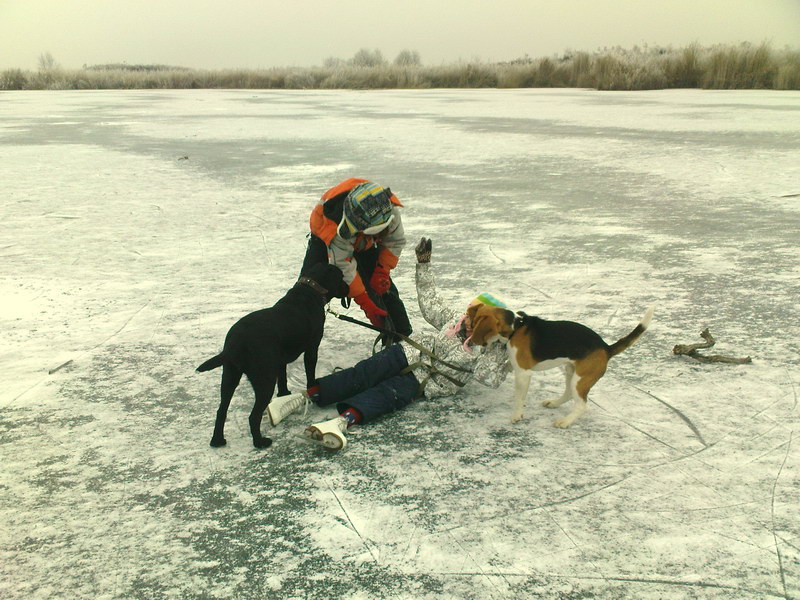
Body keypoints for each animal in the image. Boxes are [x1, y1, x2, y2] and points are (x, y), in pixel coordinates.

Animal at [196, 264, 346, 448]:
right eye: (341, 277)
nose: (348, 288)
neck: (310, 289)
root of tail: (236, 342)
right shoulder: (311, 348)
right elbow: (310, 374)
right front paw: (312, 388)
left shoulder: (280, 361)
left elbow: (283, 379)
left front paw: (284, 394)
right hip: (264, 380)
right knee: (253, 416)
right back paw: (260, 442)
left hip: (230, 376)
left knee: (221, 410)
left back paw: (217, 440)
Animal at [466, 304, 652, 426]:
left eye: (474, 325)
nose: (469, 340)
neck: (515, 328)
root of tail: (606, 348)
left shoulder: (524, 373)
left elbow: (520, 397)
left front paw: (517, 415)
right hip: (570, 371)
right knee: (569, 393)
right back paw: (554, 403)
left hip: (580, 380)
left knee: (582, 405)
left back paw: (565, 421)